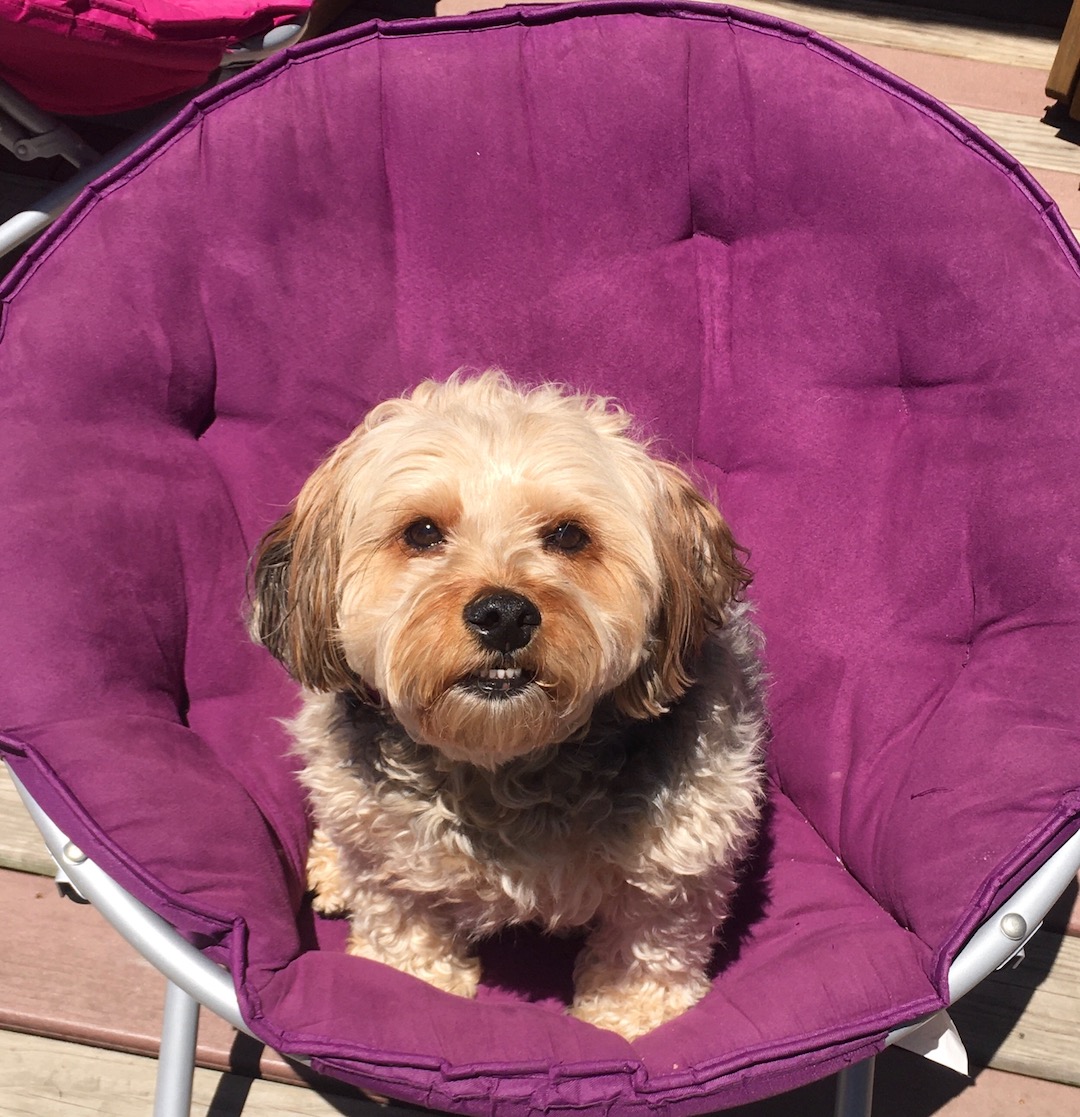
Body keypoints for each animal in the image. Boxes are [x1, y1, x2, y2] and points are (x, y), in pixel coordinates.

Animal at [249, 368, 763, 1036]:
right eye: (422, 532)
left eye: (569, 535)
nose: (503, 614)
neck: (506, 765)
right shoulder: (393, 863)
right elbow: (402, 929)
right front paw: (411, 982)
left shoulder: (680, 859)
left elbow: (649, 950)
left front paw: (626, 1021)